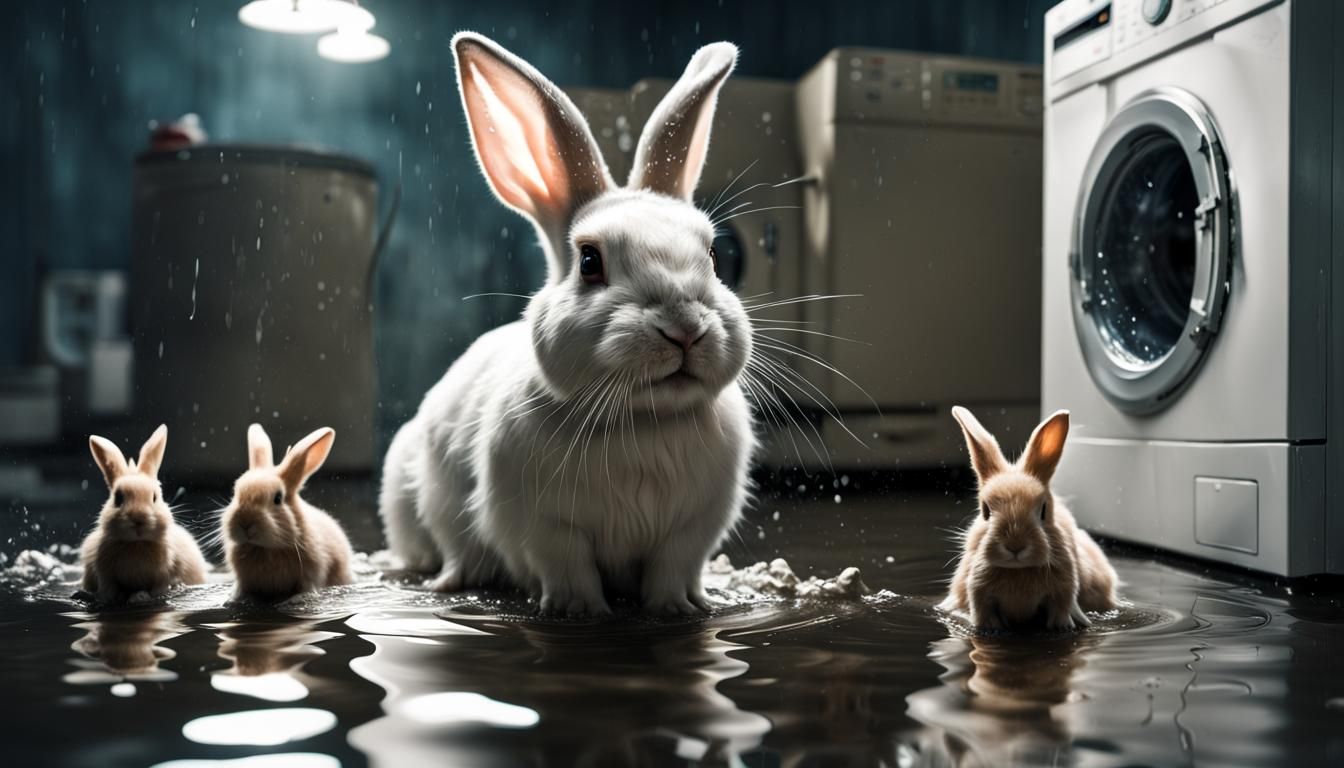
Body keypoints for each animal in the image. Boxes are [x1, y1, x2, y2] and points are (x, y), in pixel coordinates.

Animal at [81, 425, 208, 603]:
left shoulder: (164, 576)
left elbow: (158, 590)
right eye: (118, 498)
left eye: (155, 497)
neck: (137, 543)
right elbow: (108, 592)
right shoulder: (105, 575)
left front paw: (139, 596)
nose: (138, 519)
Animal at [222, 424, 354, 601]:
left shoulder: (311, 571)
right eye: (235, 493)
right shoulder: (244, 579)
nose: (245, 523)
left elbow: (306, 586)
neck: (266, 548)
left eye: (278, 498)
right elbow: (242, 588)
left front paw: (297, 599)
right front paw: (233, 598)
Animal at [379, 32, 756, 617]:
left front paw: (679, 608)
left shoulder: (692, 530)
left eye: (714, 256)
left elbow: (673, 569)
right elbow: (568, 567)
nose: (684, 328)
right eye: (589, 262)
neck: (641, 423)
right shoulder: (544, 526)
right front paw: (579, 612)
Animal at [938, 407, 1119, 631]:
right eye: (985, 510)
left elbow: (1061, 612)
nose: (1015, 546)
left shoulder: (1062, 592)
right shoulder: (980, 594)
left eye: (1043, 510)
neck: (1018, 571)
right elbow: (984, 614)